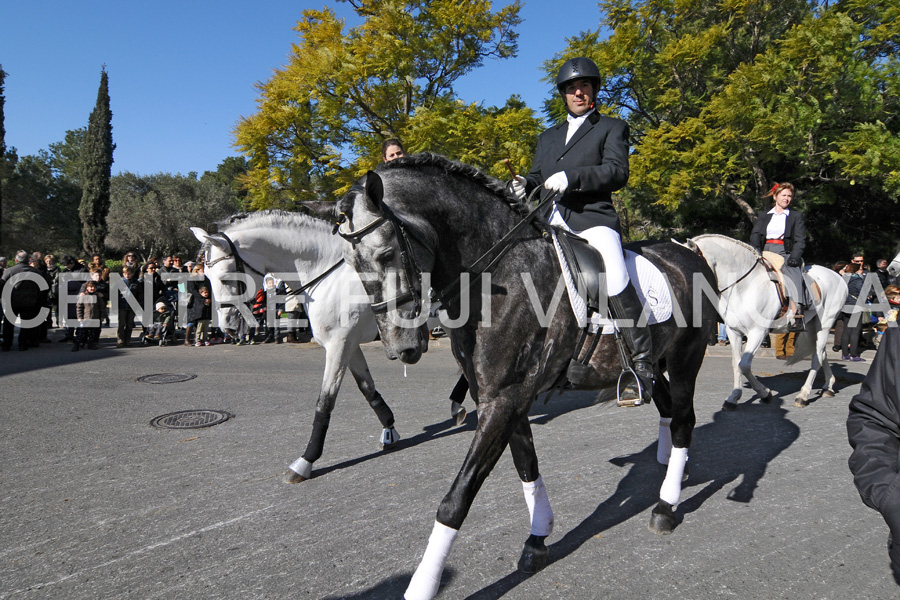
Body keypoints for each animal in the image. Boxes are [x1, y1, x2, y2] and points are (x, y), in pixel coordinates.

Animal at [192, 211, 402, 482]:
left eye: (226, 278)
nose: (226, 326)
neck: (328, 274)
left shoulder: (339, 345)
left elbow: (325, 402)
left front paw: (306, 461)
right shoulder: (349, 345)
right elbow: (368, 388)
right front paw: (389, 429)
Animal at [684, 234, 848, 408]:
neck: (744, 286)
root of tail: (837, 276)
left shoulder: (758, 332)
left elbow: (744, 365)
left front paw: (765, 393)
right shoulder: (733, 331)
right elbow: (736, 363)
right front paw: (734, 396)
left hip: (825, 325)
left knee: (817, 358)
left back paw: (803, 395)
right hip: (811, 325)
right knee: (822, 353)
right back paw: (828, 386)